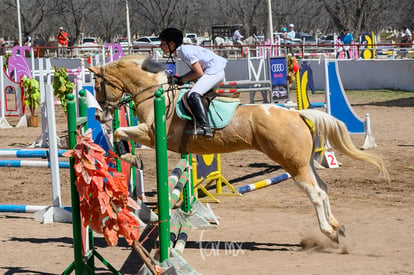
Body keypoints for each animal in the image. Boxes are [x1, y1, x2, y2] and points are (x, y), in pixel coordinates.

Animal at [88, 55, 388, 245]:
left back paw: (328, 231)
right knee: (323, 188)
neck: (153, 94)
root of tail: (298, 114)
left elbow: (121, 132)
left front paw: (132, 157)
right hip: (304, 164)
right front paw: (130, 156)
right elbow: (120, 133)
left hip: (293, 165)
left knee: (315, 193)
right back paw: (337, 226)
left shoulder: (152, 134)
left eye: (99, 87)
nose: (101, 115)